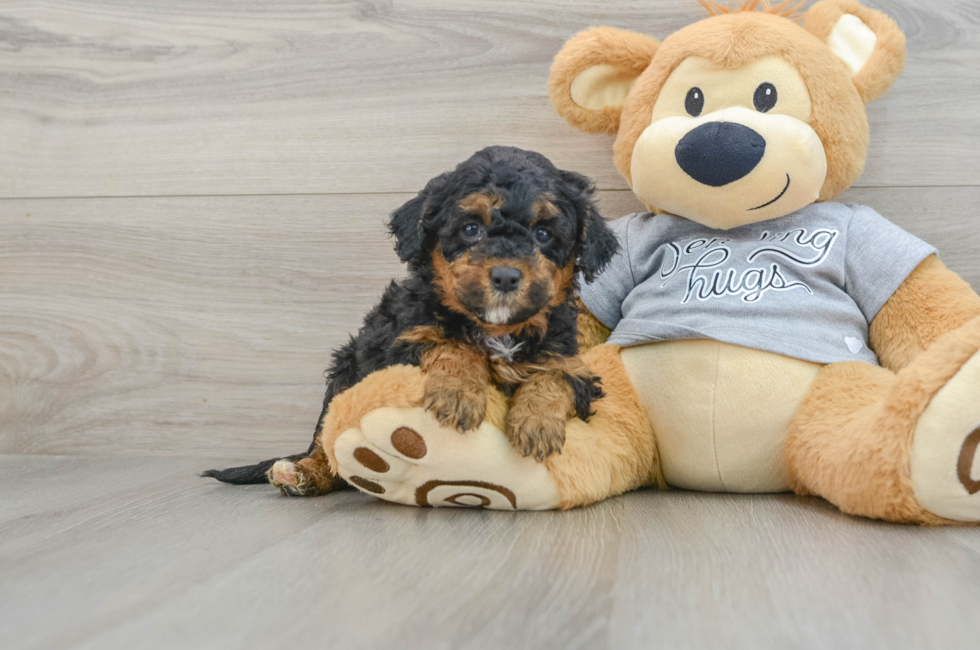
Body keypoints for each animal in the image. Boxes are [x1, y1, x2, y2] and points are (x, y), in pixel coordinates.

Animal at [203, 144, 616, 494]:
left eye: (544, 234)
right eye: (471, 228)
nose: (505, 276)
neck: (495, 328)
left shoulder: (573, 365)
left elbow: (554, 377)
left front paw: (536, 424)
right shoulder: (400, 344)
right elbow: (452, 344)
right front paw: (458, 393)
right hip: (344, 375)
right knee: (327, 446)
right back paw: (303, 472)